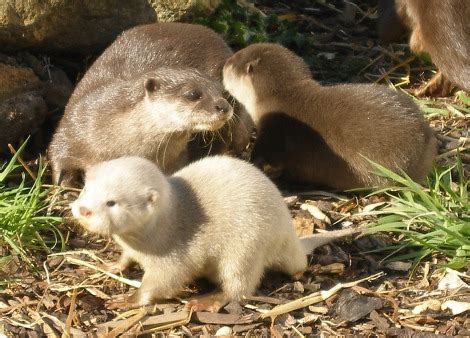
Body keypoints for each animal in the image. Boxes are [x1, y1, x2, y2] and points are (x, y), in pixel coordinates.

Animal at [47, 23, 252, 187]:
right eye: (193, 94)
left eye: (221, 91)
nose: (223, 106)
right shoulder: (76, 124)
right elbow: (58, 155)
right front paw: (67, 190)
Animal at [223, 43, 436, 190]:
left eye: (233, 64)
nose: (224, 64)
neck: (278, 98)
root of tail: (427, 137)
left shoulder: (272, 131)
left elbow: (262, 154)